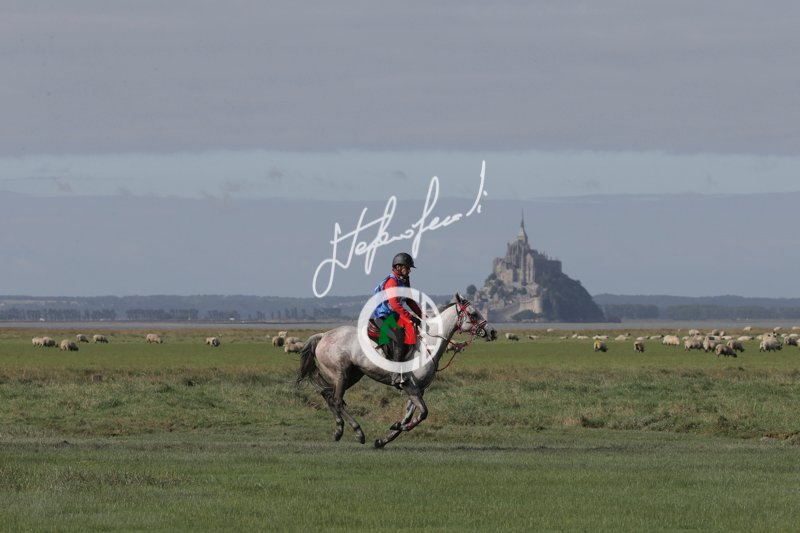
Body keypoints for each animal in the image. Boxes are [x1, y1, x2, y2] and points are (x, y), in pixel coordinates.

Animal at [297, 293, 497, 448]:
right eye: (473, 313)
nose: (493, 332)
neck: (429, 343)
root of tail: (323, 335)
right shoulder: (410, 386)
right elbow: (423, 413)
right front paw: (395, 427)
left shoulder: (418, 389)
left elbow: (410, 416)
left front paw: (384, 439)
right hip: (342, 374)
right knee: (337, 400)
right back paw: (358, 432)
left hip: (353, 375)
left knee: (329, 396)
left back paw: (339, 430)